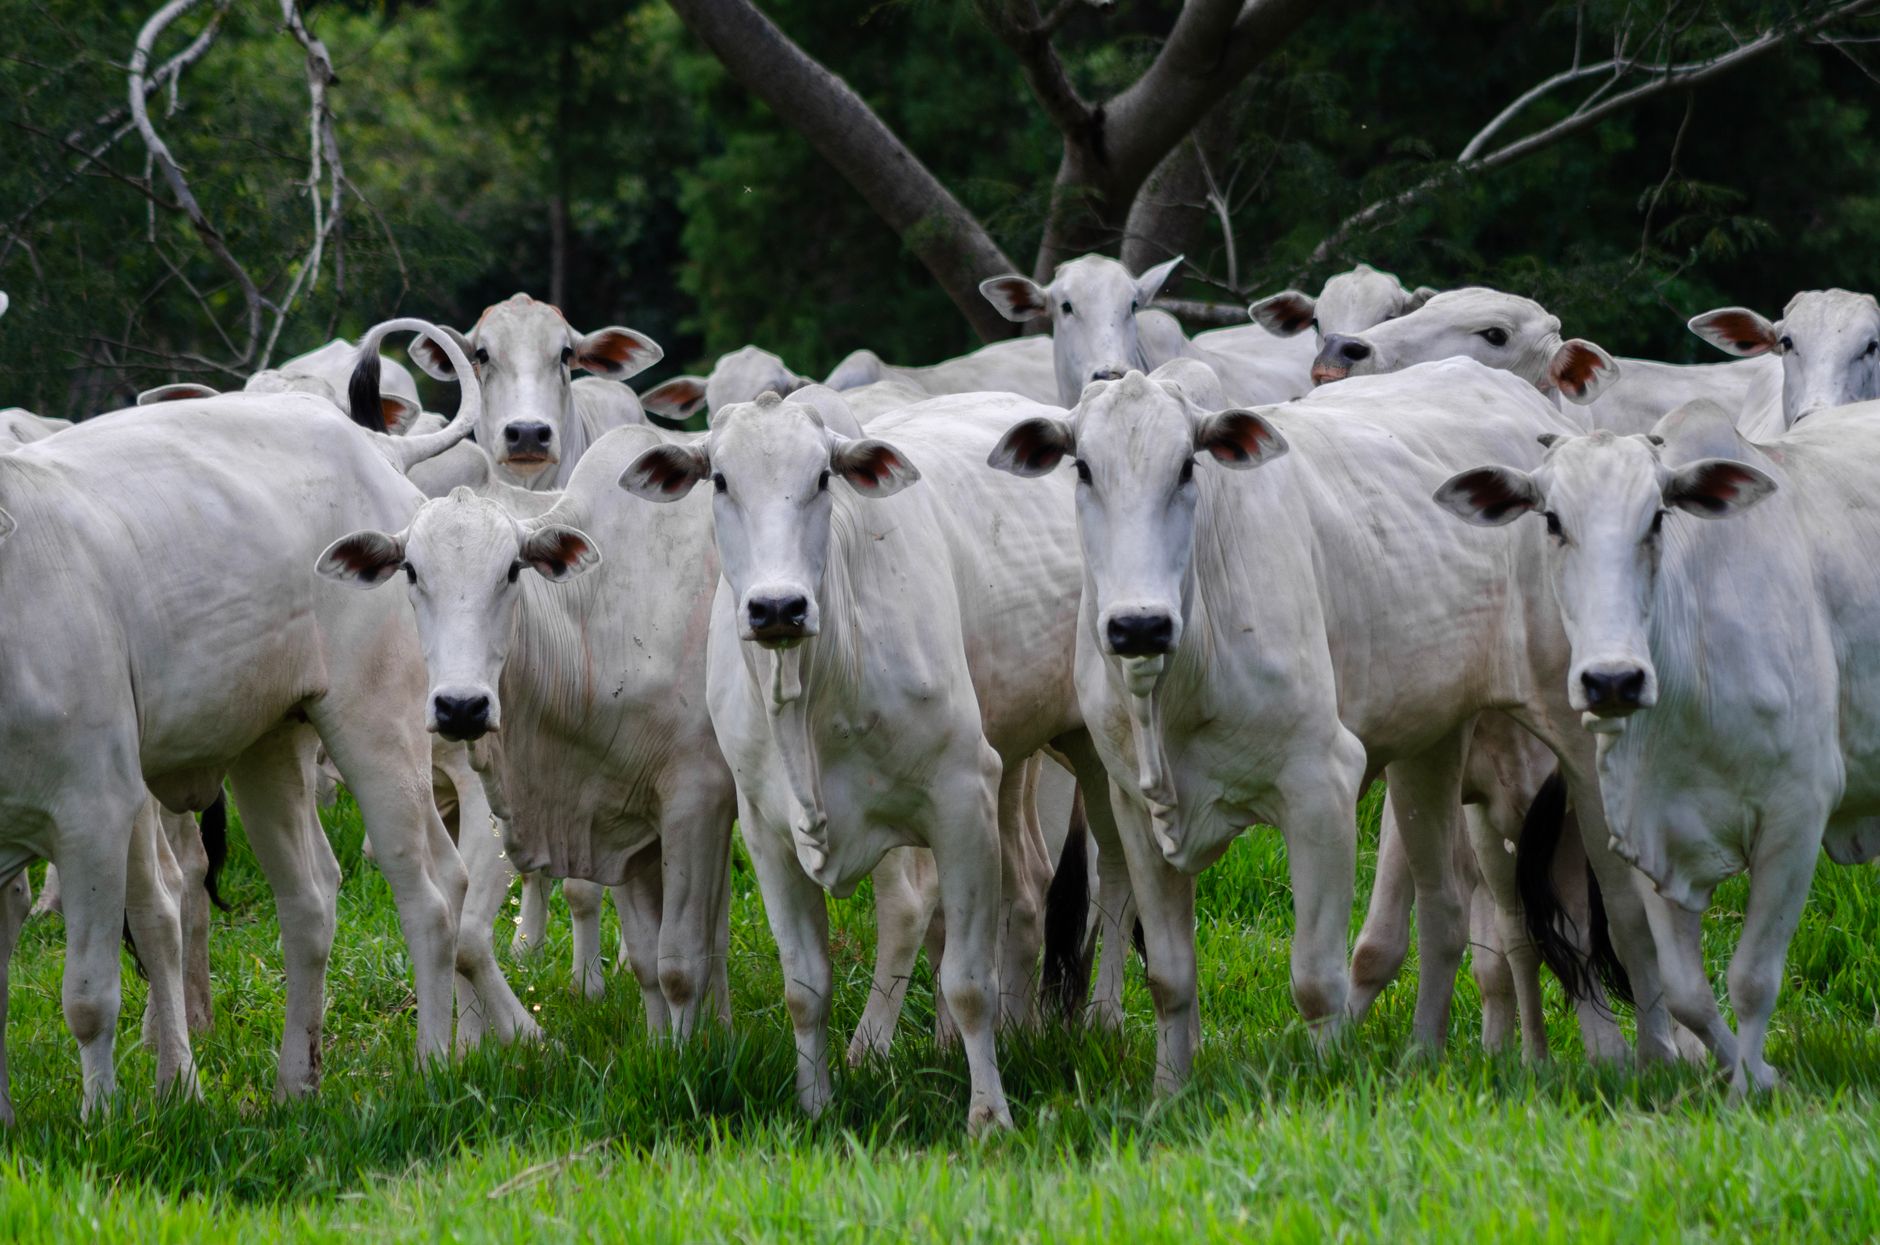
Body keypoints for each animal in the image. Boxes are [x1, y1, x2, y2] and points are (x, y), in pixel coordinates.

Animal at [0, 318, 491, 1120]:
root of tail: (376, 447)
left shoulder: (94, 812)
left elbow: (90, 995)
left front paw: (104, 1119)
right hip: (271, 742)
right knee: (309, 899)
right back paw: (297, 1081)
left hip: (379, 724)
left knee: (430, 891)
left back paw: (433, 1064)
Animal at [619, 390, 1132, 1130]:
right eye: (719, 480)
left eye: (822, 478)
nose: (777, 606)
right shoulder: (766, 831)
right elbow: (805, 985)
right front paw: (816, 1105)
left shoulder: (958, 798)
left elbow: (967, 980)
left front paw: (988, 1117)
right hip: (1011, 756)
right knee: (1030, 886)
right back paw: (1020, 1032)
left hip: (1095, 743)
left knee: (1117, 876)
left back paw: (1104, 1020)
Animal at [987, 359, 1690, 1091]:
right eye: (1083, 469)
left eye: (1185, 466)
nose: (1139, 624)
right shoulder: (1134, 806)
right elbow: (1171, 979)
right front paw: (1168, 1094)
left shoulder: (1319, 787)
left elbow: (1315, 982)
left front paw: (1327, 1080)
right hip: (1432, 744)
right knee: (1444, 910)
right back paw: (1423, 1053)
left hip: (1579, 732)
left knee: (1625, 913)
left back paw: (1651, 1057)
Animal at [1431, 398, 1880, 1094]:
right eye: (1552, 520)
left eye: (1658, 516)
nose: (1613, 679)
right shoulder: (1649, 835)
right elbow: (1685, 991)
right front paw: (1746, 1070)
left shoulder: (1796, 817)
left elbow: (1752, 978)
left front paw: (1750, 1086)